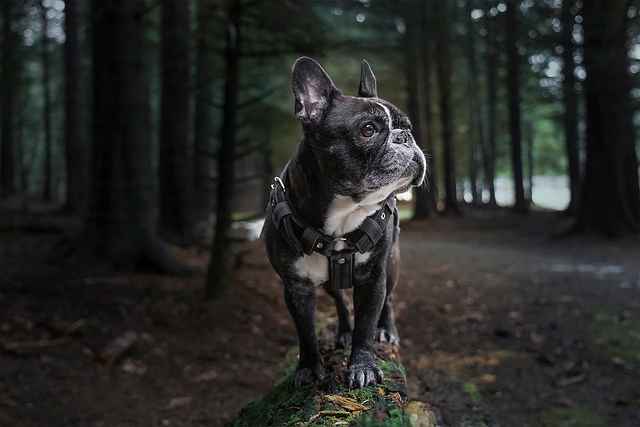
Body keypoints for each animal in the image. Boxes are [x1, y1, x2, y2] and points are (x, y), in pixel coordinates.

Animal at [262, 56, 428, 388]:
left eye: (407, 127)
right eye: (368, 130)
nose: (405, 137)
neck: (343, 215)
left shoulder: (374, 278)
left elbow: (367, 324)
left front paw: (363, 365)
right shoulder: (296, 287)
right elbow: (306, 332)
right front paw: (309, 367)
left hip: (392, 263)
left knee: (389, 300)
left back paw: (386, 330)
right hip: (328, 283)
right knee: (339, 299)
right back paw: (343, 331)